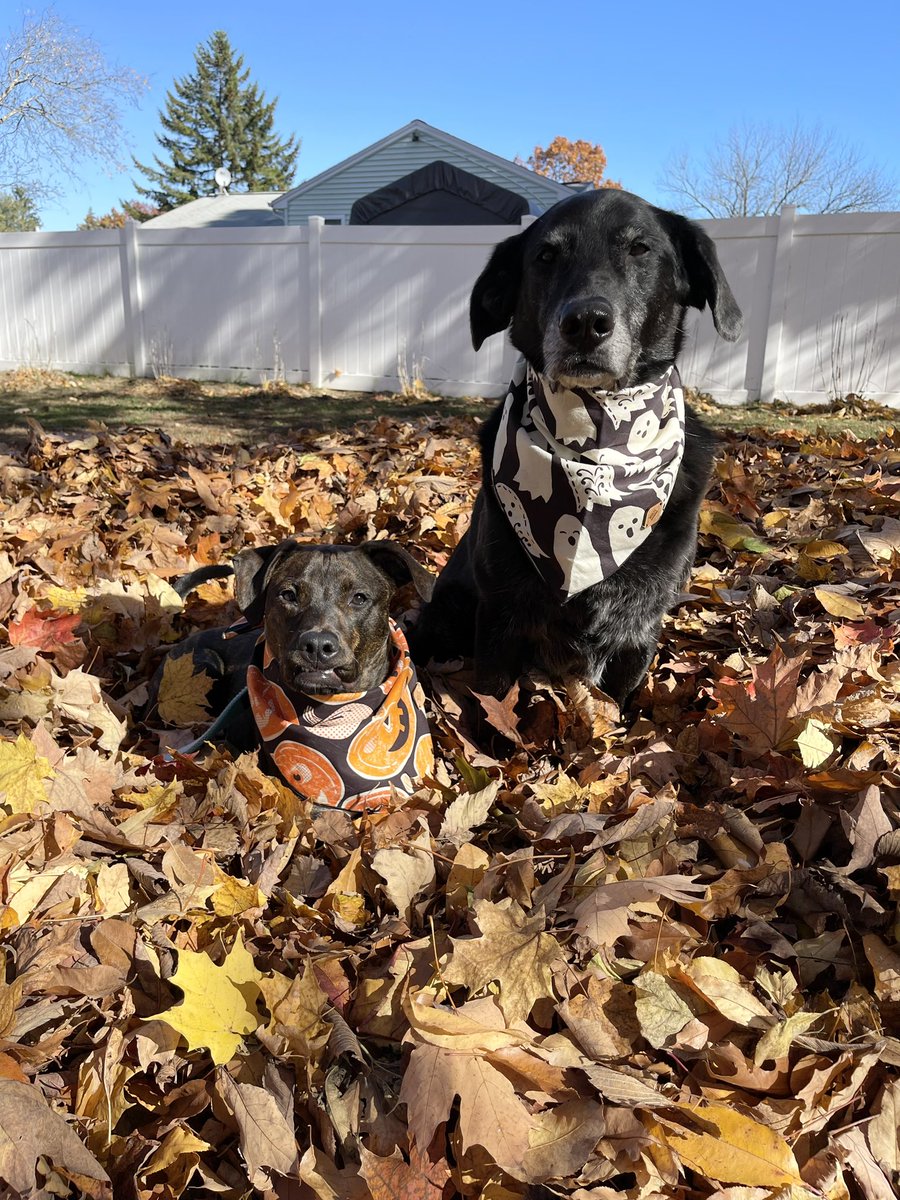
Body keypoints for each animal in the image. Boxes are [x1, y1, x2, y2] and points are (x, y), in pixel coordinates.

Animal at [412, 188, 744, 705]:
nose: (586, 321)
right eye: (546, 256)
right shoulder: (498, 620)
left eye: (640, 249)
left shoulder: (638, 632)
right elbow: (492, 710)